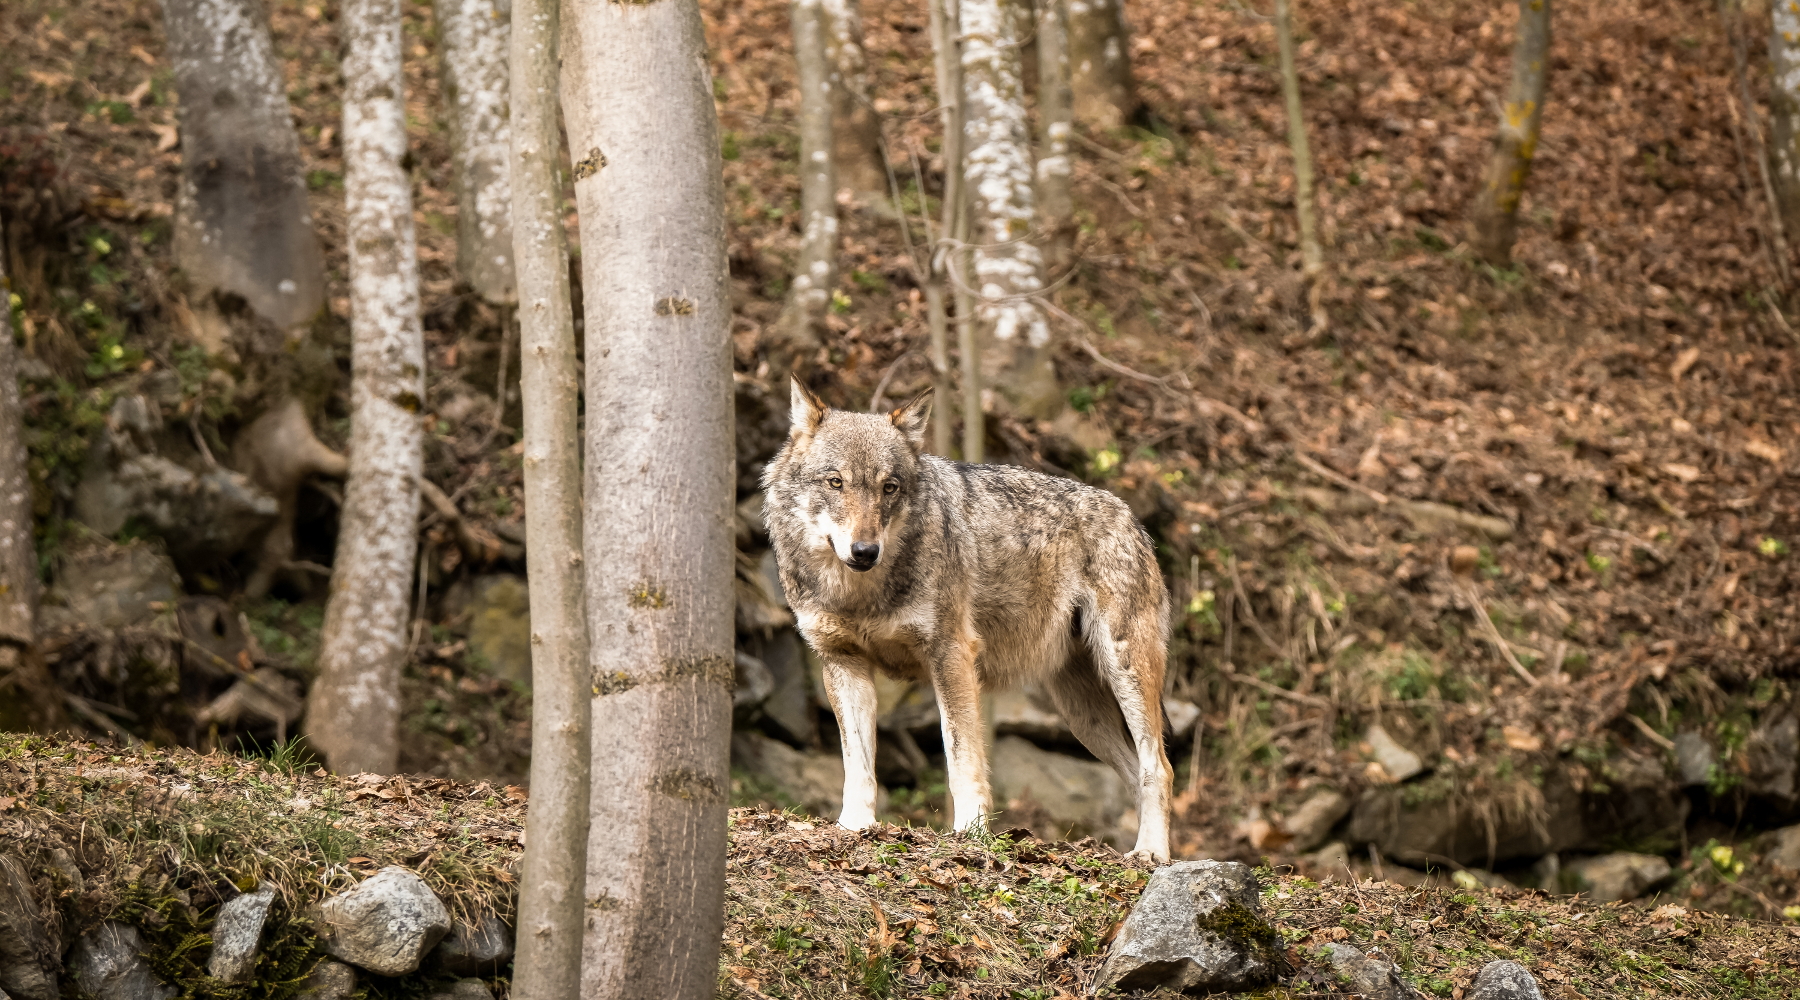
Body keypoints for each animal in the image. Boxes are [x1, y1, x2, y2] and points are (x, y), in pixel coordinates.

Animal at [761, 379, 1175, 862]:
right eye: (835, 482)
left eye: (889, 487)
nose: (865, 551)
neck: (860, 593)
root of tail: (1131, 518)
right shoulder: (843, 663)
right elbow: (858, 765)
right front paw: (853, 827)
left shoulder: (951, 655)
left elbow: (961, 757)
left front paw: (970, 834)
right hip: (1081, 715)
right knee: (1136, 771)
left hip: (1123, 673)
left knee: (1158, 767)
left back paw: (1151, 854)